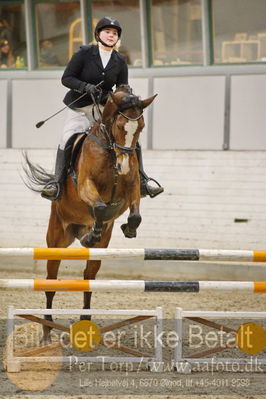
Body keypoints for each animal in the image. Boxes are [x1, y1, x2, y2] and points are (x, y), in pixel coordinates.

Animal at [23, 86, 157, 326]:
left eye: (141, 127)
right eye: (119, 126)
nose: (123, 165)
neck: (111, 151)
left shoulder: (132, 186)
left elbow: (134, 215)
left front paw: (128, 229)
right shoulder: (86, 185)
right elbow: (101, 207)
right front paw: (94, 231)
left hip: (99, 249)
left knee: (89, 278)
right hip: (56, 239)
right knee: (51, 280)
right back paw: (47, 322)